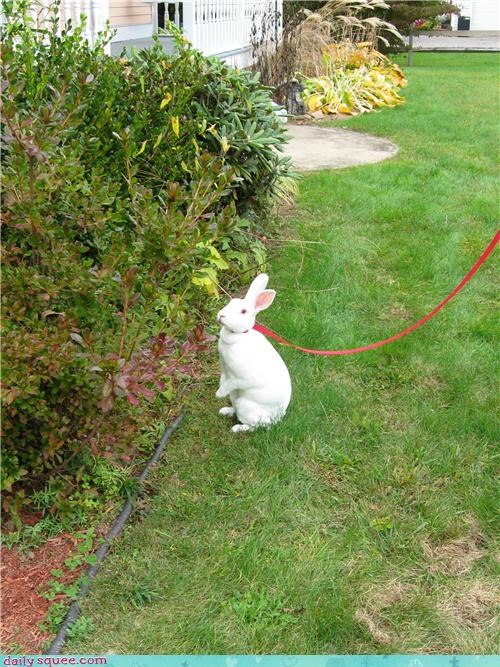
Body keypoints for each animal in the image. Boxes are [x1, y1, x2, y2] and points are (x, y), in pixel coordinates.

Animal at [216, 273, 292, 433]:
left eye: (243, 311)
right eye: (230, 302)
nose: (221, 315)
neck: (238, 335)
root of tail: (276, 419)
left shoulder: (238, 378)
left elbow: (228, 385)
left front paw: (218, 394)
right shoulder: (225, 371)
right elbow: (223, 380)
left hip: (246, 407)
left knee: (255, 426)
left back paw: (236, 428)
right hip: (236, 399)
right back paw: (225, 411)